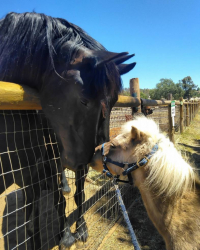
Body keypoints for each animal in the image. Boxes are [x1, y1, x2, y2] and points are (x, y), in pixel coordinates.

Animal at [0, 12, 136, 250]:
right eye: (84, 100)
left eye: (113, 102)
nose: (96, 158)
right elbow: (55, 201)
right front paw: (64, 235)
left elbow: (79, 194)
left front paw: (80, 228)